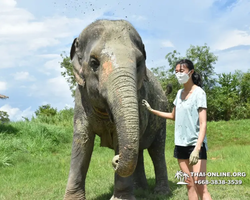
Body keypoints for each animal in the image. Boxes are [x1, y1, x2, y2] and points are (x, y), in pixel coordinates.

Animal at [63, 19, 171, 200]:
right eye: (94, 63)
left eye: (139, 63)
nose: (116, 159)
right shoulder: (81, 101)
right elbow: (82, 142)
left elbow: (121, 142)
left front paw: (122, 198)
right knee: (139, 150)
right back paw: (140, 188)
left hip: (161, 119)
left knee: (157, 150)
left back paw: (160, 192)